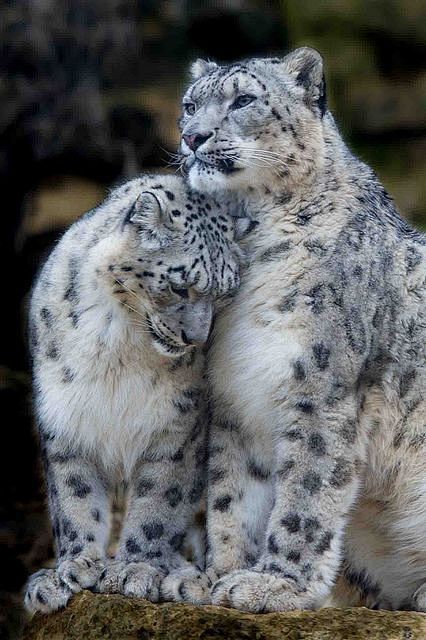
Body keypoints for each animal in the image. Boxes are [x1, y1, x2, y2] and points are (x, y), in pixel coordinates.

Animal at [24, 172, 243, 612]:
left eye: (225, 294)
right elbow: (73, 496)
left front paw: (134, 569)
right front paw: (71, 569)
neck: (117, 344)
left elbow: (158, 501)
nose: (197, 338)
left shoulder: (178, 427)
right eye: (180, 286)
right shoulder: (64, 417)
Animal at [178, 47, 426, 612]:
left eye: (243, 100)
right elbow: (232, 496)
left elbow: (306, 494)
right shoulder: (237, 398)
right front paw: (219, 575)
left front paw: (275, 584)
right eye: (190, 105)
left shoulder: (321, 389)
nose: (193, 137)